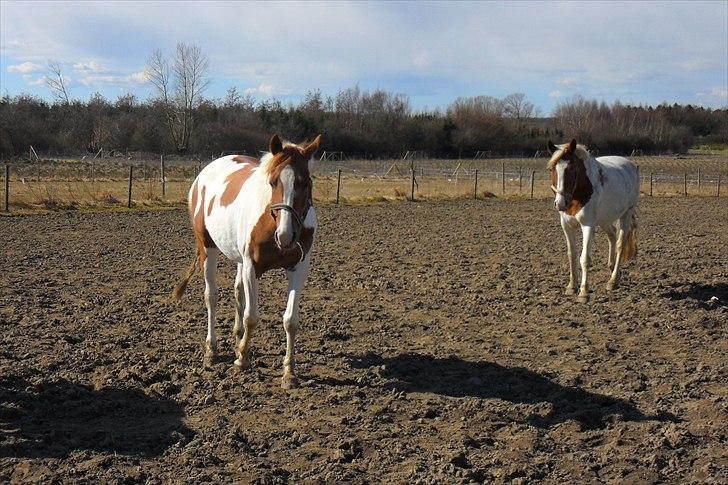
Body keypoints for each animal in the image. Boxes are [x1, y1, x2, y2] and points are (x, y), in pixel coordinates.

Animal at [173, 134, 322, 388]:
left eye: (305, 183)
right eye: (273, 182)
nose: (285, 236)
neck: (271, 223)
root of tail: (203, 175)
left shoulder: (298, 268)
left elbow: (290, 320)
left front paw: (289, 372)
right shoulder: (252, 266)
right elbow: (251, 316)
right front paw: (242, 360)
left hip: (239, 260)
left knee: (237, 291)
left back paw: (237, 336)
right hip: (208, 249)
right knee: (211, 296)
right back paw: (212, 349)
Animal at [544, 138, 640, 300]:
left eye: (572, 170)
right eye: (552, 169)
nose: (560, 204)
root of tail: (632, 166)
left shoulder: (588, 226)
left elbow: (584, 259)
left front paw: (583, 292)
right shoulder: (567, 226)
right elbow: (572, 255)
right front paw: (571, 287)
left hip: (626, 214)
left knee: (620, 244)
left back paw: (613, 281)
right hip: (604, 220)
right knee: (612, 235)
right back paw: (611, 269)